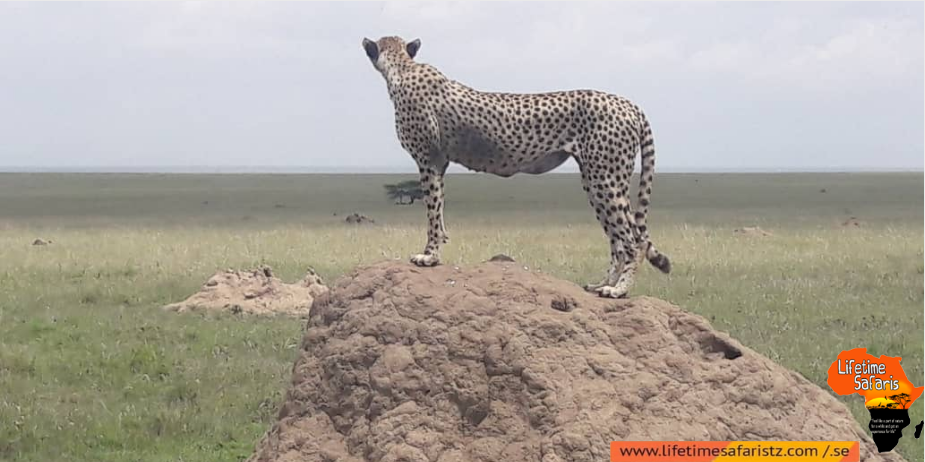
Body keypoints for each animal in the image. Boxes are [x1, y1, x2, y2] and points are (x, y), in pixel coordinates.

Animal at [362, 36, 670, 298]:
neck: (402, 67)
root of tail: (627, 103)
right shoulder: (440, 163)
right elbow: (439, 210)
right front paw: (435, 250)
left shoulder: (428, 160)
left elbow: (432, 213)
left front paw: (429, 256)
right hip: (597, 178)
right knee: (618, 239)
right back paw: (602, 284)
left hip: (604, 178)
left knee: (634, 240)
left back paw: (618, 290)